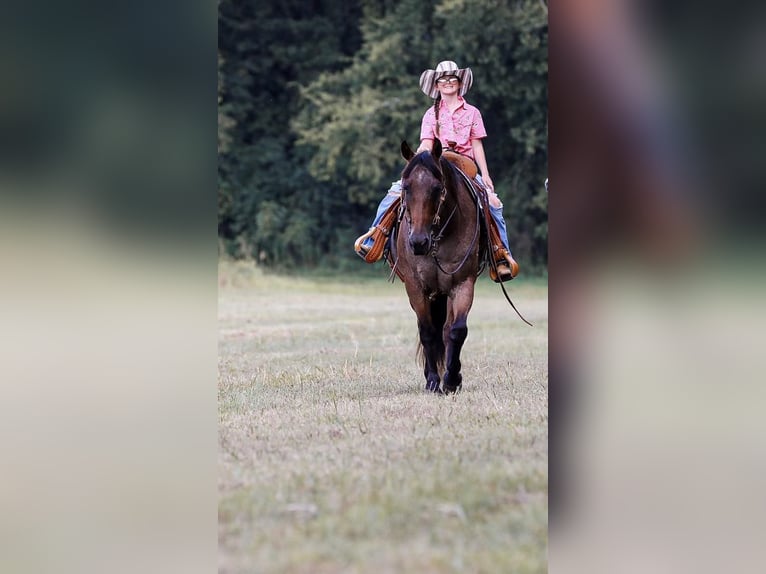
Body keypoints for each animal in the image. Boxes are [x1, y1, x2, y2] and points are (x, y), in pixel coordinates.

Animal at [391, 139, 483, 394]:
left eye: (436, 188)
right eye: (406, 187)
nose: (418, 242)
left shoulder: (462, 283)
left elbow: (456, 330)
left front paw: (451, 379)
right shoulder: (415, 287)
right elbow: (427, 331)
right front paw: (432, 380)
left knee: (447, 328)